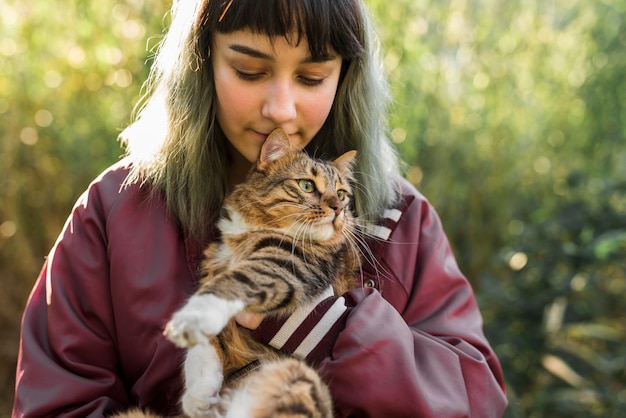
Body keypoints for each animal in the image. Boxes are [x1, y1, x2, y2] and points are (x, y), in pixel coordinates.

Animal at [122, 129, 358, 416]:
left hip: (298, 378)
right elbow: (203, 349)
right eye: (307, 186)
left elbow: (230, 285)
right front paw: (198, 395)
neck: (249, 231)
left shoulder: (288, 263)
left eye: (342, 194)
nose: (338, 208)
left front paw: (187, 320)